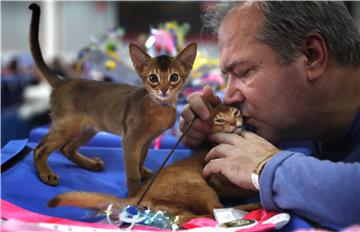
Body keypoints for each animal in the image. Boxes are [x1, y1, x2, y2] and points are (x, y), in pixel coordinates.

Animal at [28, 3, 197, 196]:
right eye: (153, 78)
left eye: (174, 77)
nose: (163, 89)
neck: (159, 107)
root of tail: (63, 81)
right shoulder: (130, 141)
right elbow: (132, 172)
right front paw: (135, 194)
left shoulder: (146, 141)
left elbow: (140, 161)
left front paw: (142, 173)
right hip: (67, 126)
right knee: (39, 149)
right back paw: (46, 174)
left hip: (89, 128)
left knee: (66, 149)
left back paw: (90, 164)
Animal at [47, 104, 250, 224]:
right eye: (219, 120)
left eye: (235, 112)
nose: (234, 123)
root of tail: (139, 197)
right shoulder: (221, 179)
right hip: (198, 186)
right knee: (216, 211)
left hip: (177, 209)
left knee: (193, 218)